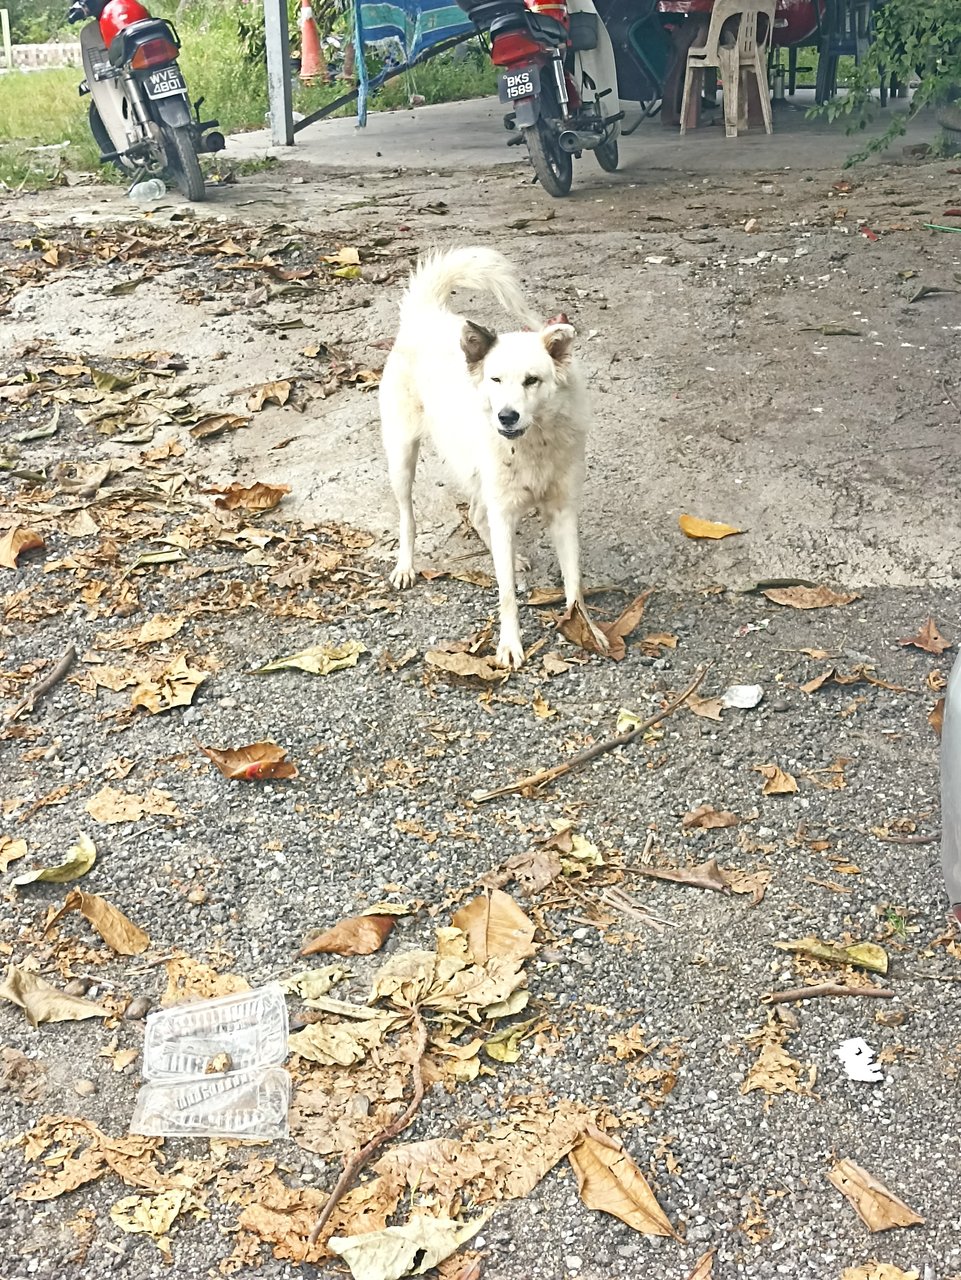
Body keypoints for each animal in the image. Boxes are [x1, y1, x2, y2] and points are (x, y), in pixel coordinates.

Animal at [378, 247, 603, 670]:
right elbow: (507, 595)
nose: (506, 417)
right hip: (401, 456)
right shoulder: (504, 511)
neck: (534, 443)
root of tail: (426, 315)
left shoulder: (563, 511)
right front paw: (510, 644)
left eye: (532, 380)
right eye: (495, 380)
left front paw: (586, 628)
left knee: (475, 514)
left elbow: (575, 583)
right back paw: (405, 566)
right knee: (407, 516)